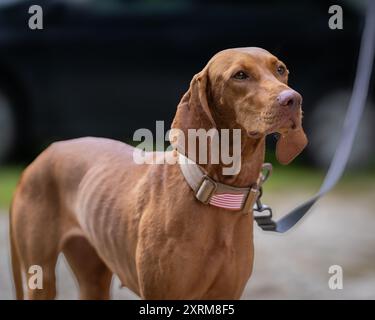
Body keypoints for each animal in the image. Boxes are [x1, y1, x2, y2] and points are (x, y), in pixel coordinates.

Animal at [9, 47, 308, 300]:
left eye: (281, 69)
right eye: (240, 75)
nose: (293, 99)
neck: (216, 192)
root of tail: (40, 158)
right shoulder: (163, 294)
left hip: (93, 277)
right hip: (41, 277)